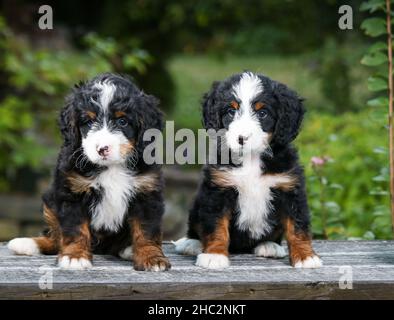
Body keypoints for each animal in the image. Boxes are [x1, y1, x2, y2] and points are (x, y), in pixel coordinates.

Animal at [7, 74, 170, 272]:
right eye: (89, 121)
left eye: (122, 121)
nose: (102, 149)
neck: (111, 167)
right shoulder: (73, 193)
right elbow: (75, 229)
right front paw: (75, 257)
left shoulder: (146, 192)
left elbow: (147, 230)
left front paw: (151, 257)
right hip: (50, 202)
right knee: (55, 238)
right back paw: (28, 244)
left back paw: (128, 249)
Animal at [175, 71, 324, 268]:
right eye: (231, 111)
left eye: (262, 113)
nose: (242, 138)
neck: (251, 158)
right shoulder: (218, 190)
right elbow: (216, 226)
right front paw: (214, 254)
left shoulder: (289, 189)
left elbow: (297, 226)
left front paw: (306, 256)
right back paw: (191, 243)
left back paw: (270, 245)